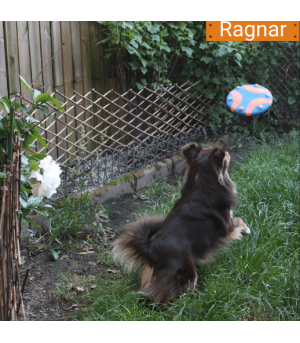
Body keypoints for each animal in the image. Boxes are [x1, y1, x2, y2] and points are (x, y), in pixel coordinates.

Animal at [111, 144, 250, 306]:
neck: (201, 181)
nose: (227, 151)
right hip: (186, 272)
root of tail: (149, 248)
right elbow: (240, 219)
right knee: (164, 298)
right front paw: (248, 230)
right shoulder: (228, 226)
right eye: (225, 157)